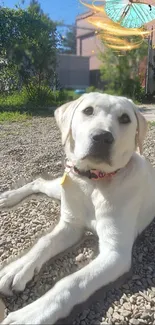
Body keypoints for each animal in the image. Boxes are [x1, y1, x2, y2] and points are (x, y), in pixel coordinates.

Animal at [0, 92, 154, 324]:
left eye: (125, 118)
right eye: (88, 110)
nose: (102, 137)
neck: (93, 183)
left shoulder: (115, 253)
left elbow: (71, 282)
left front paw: (32, 313)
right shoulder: (71, 225)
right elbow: (44, 242)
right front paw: (19, 267)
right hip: (60, 189)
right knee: (38, 181)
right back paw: (9, 197)